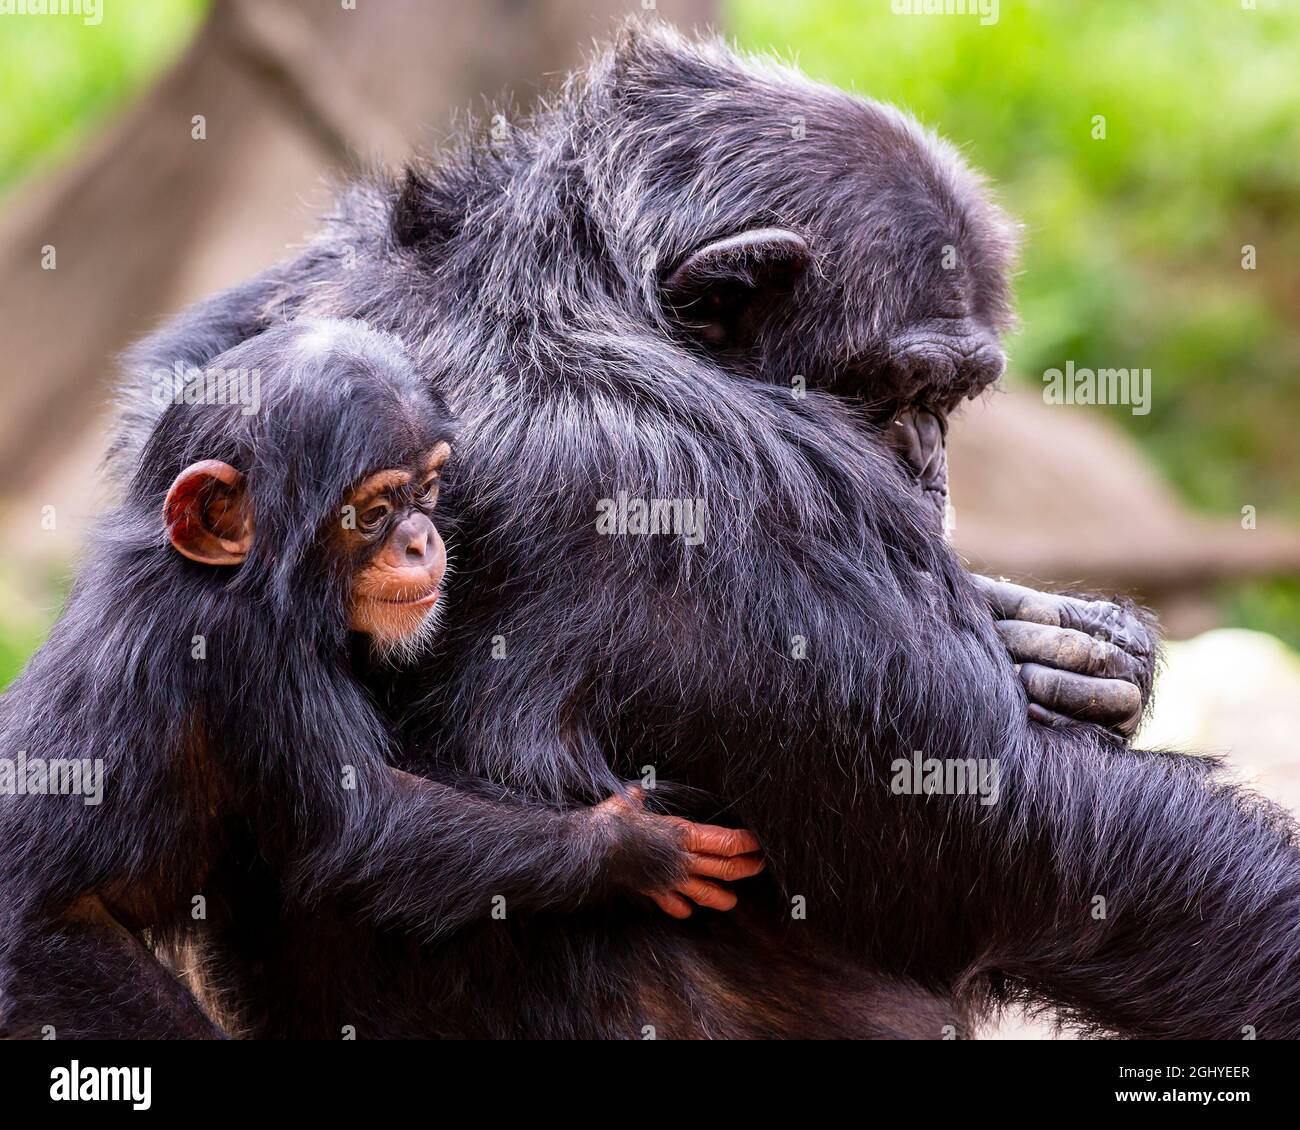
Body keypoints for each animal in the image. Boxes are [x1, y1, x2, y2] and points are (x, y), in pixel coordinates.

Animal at [0, 319, 759, 1040]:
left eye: (428, 489)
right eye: (372, 513)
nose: (420, 539)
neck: (229, 576)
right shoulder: (245, 652)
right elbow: (365, 823)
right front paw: (636, 846)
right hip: (55, 966)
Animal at [104, 19, 1300, 1040]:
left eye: (953, 401)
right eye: (901, 394)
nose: (928, 466)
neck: (567, 285)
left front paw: (1077, 645)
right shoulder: (712, 490)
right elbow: (1003, 832)